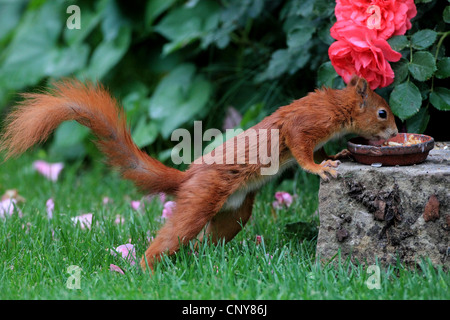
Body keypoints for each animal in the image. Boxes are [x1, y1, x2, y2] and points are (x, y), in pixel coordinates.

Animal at [0, 76, 398, 272]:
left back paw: (202, 259)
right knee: (171, 238)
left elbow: (318, 149)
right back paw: (144, 270)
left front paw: (338, 153)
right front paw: (320, 167)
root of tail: (186, 179)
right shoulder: (303, 125)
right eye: (382, 113)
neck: (336, 104)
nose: (395, 131)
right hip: (200, 201)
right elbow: (301, 150)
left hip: (234, 214)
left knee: (208, 240)